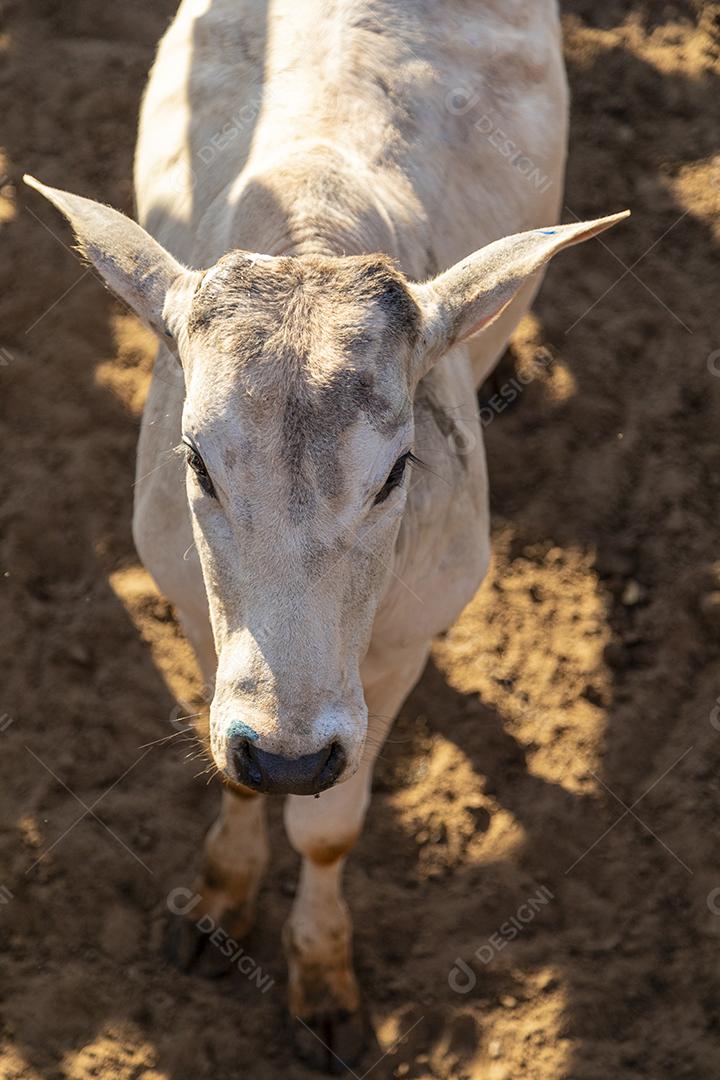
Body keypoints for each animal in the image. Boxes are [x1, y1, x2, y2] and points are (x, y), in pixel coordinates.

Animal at [24, 0, 626, 1070]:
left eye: (395, 472)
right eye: (196, 463)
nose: (291, 758)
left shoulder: (408, 639)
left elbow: (333, 832)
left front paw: (323, 984)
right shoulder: (191, 607)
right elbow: (233, 777)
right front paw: (220, 898)